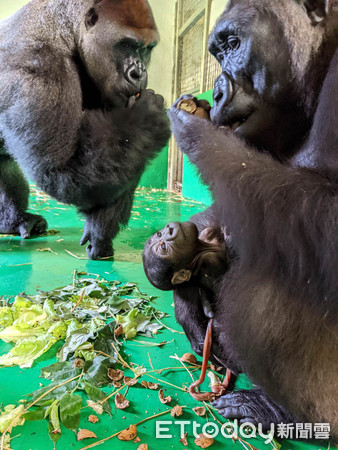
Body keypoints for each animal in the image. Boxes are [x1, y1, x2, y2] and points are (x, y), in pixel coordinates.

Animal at [0, 0, 170, 258]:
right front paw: (146, 118)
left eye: (146, 49)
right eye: (126, 45)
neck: (64, 31)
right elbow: (60, 172)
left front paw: (100, 231)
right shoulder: (37, 70)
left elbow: (120, 160)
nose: (139, 73)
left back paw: (14, 221)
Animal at [172, 0, 338, 438]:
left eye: (233, 44)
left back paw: (284, 412)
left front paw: (193, 128)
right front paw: (181, 290)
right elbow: (240, 202)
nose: (214, 90)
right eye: (217, 52)